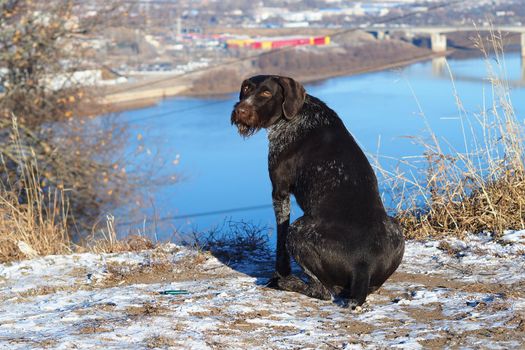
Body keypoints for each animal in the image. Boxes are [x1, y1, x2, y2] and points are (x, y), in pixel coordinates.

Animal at [230, 75, 406, 308]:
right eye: (246, 88)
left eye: (266, 93)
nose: (240, 110)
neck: (296, 115)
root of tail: (363, 266)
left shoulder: (280, 192)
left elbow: (280, 243)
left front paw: (278, 275)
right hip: (396, 229)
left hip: (298, 231)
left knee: (322, 291)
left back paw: (286, 283)